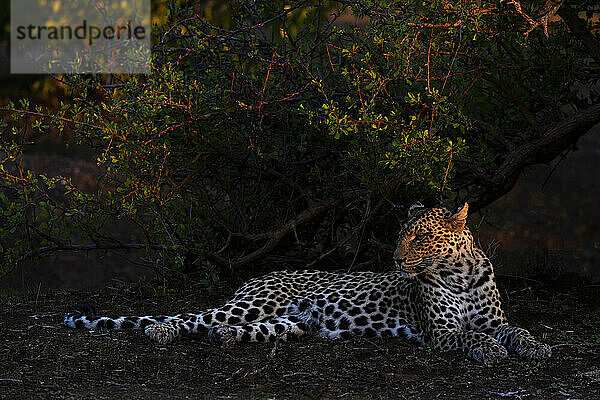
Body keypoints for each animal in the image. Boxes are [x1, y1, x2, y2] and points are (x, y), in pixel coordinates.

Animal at [63, 203, 552, 366]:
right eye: (401, 236)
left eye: (419, 237)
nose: (395, 259)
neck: (461, 274)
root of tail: (262, 274)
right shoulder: (443, 332)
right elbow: (471, 335)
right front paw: (491, 352)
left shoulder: (495, 320)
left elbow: (515, 329)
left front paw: (537, 347)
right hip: (253, 304)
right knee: (191, 317)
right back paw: (161, 331)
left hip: (290, 323)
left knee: (226, 328)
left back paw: (225, 339)